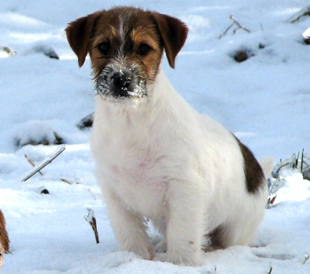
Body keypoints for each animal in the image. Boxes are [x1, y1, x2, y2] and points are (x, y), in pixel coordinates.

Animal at [66, 7, 274, 266]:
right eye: (103, 46)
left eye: (144, 48)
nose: (121, 80)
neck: (131, 120)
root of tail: (257, 168)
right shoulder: (114, 191)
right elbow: (130, 232)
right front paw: (134, 259)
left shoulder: (185, 187)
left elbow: (183, 233)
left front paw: (181, 264)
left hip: (236, 227)